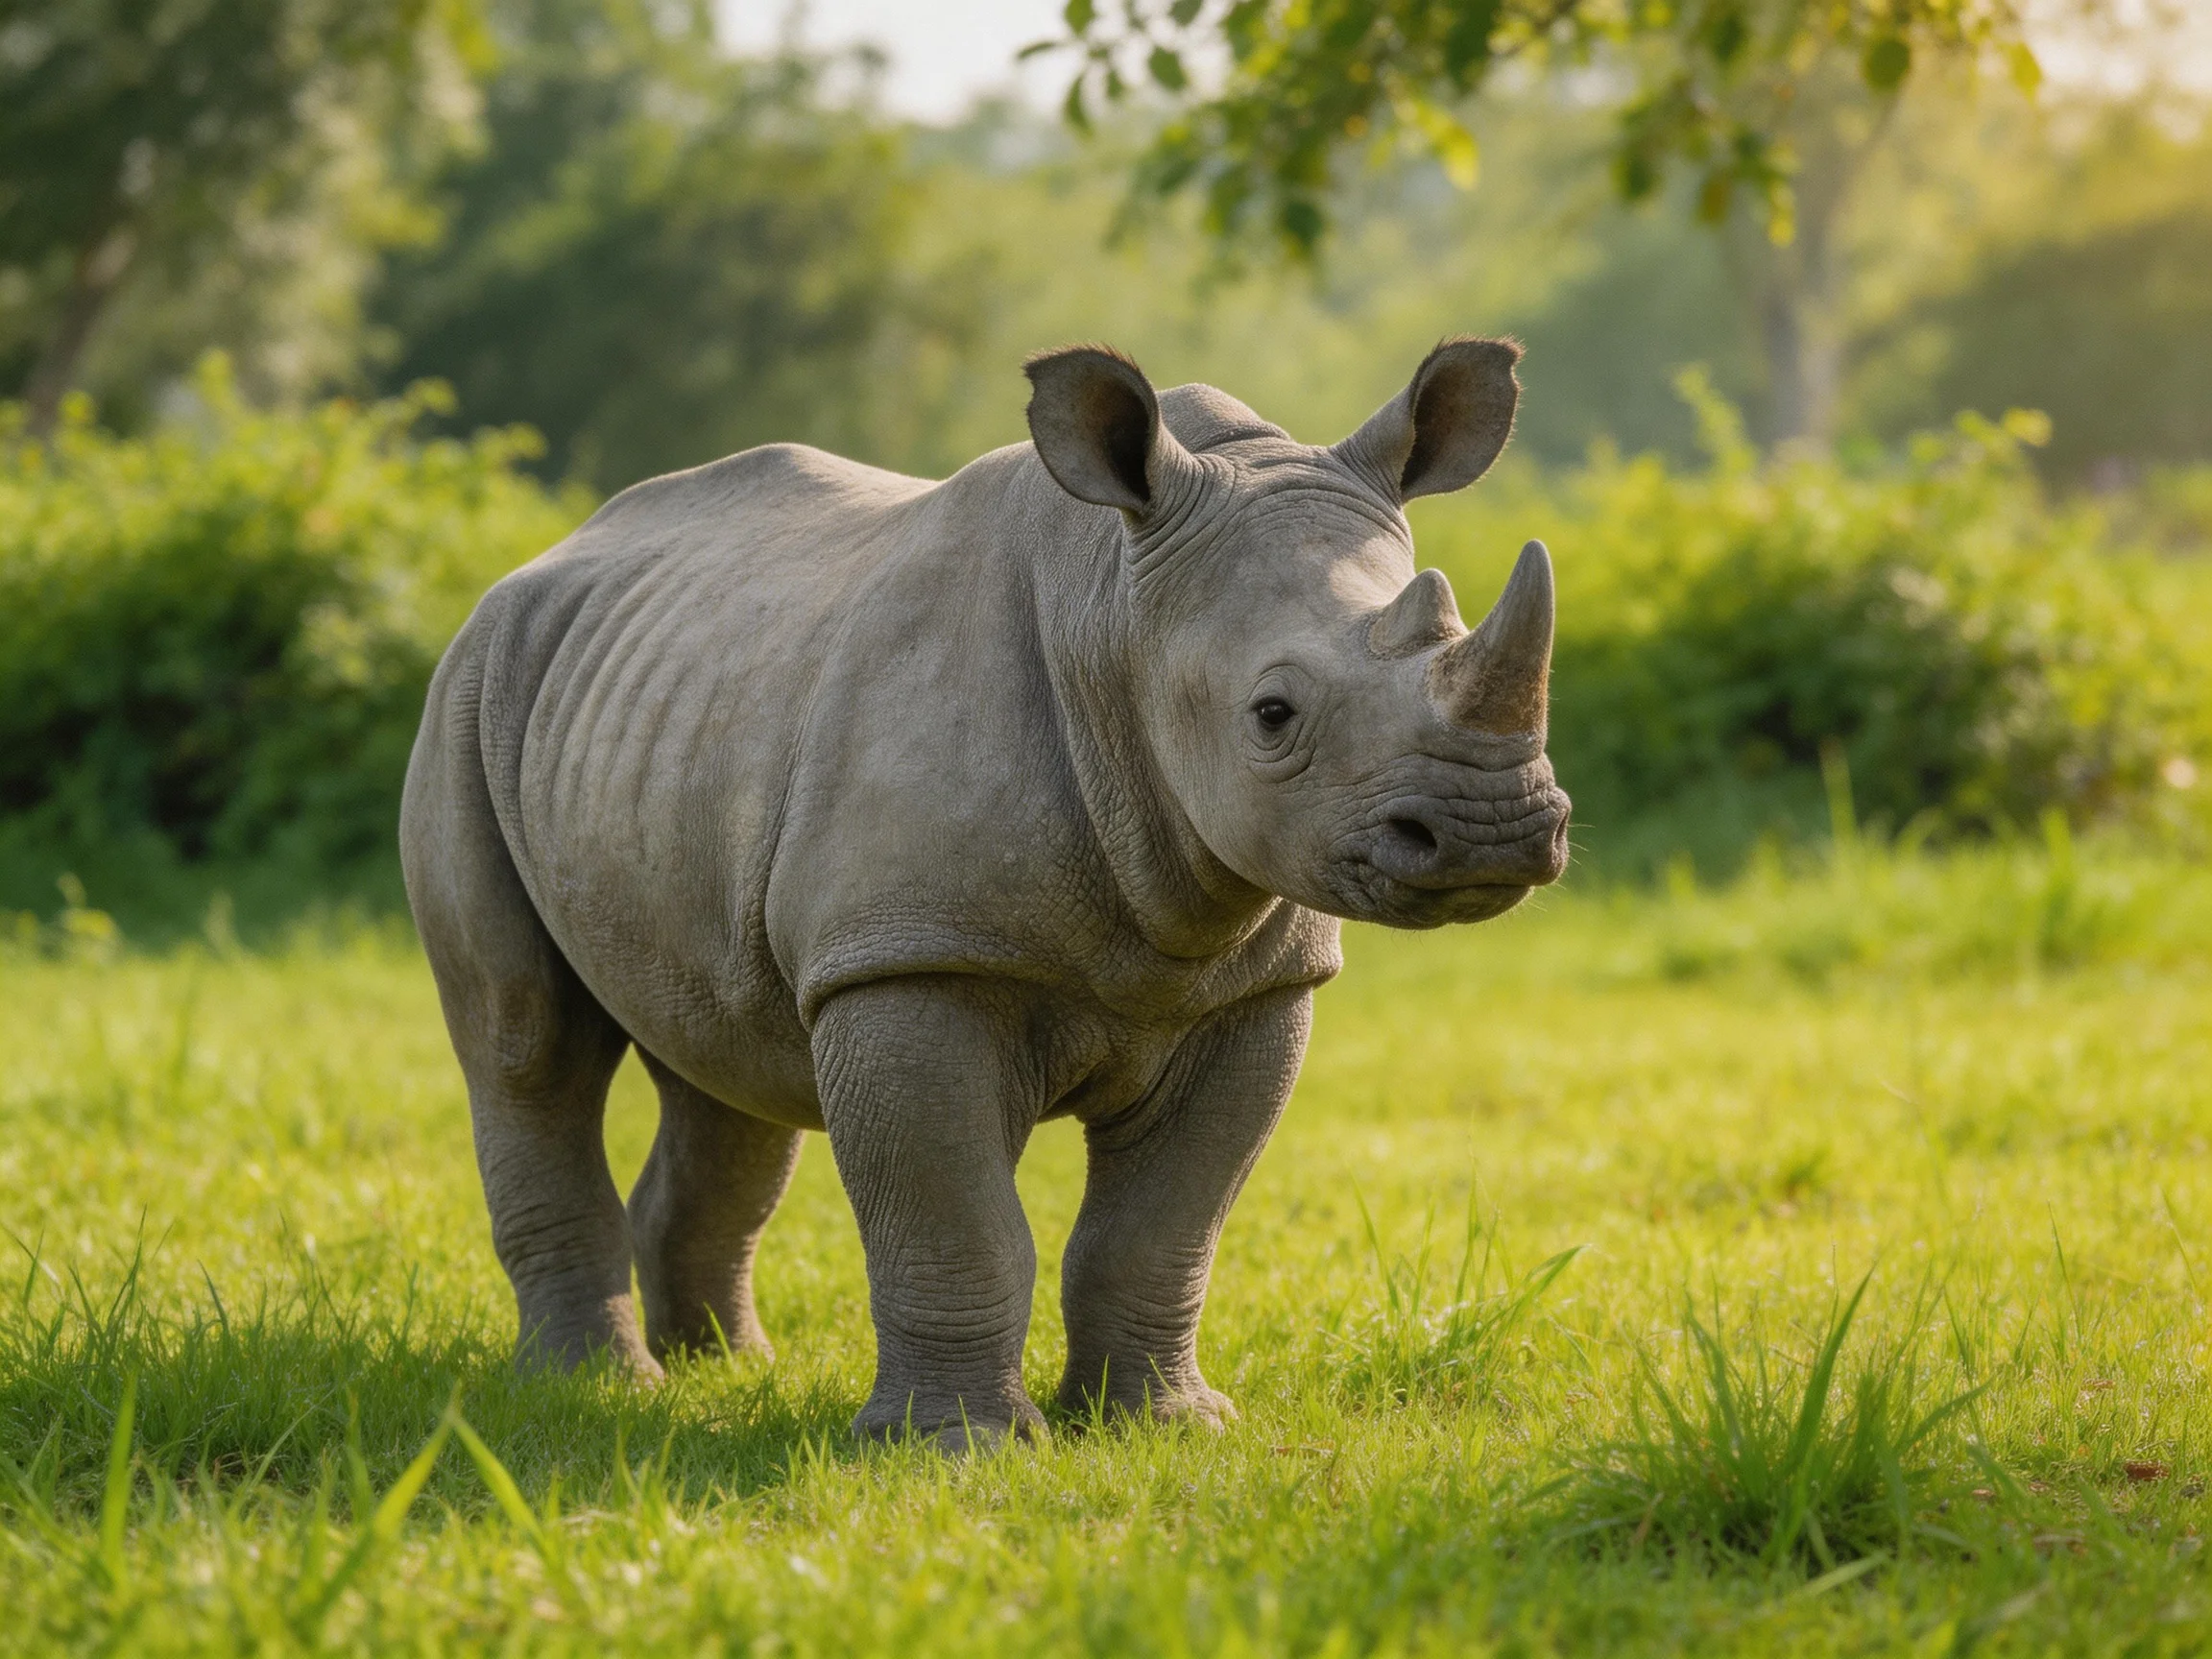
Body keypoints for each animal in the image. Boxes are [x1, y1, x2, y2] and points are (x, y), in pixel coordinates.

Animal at [400, 337, 1569, 1448]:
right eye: (1272, 715)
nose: (1494, 829)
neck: (1118, 615)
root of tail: (544, 560)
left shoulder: (1253, 989)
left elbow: (1163, 1229)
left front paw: (1163, 1427)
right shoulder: (910, 954)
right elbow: (955, 1220)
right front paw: (957, 1448)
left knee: (724, 1065)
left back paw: (724, 1370)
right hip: (470, 688)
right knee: (528, 1046)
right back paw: (593, 1386)